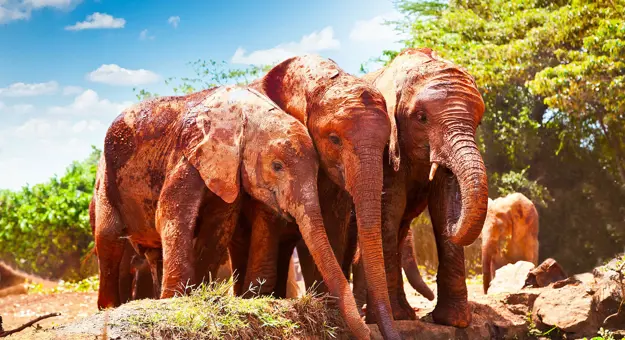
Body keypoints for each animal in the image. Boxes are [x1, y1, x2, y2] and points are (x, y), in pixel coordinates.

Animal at [90, 84, 368, 338]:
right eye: (277, 166)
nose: (367, 329)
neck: (246, 116)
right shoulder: (187, 154)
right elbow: (170, 214)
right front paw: (175, 301)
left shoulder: (229, 169)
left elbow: (220, 225)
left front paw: (198, 296)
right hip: (105, 178)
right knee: (109, 238)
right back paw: (110, 307)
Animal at [352, 47, 488, 326]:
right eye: (421, 118)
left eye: (478, 123)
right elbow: (389, 206)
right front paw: (398, 318)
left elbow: (444, 201)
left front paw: (453, 321)